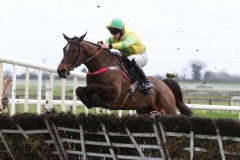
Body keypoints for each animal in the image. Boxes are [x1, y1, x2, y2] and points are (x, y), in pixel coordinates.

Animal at [57, 32, 194, 116]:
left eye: (74, 50)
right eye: (64, 49)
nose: (61, 70)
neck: (102, 65)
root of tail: (165, 85)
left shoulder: (115, 92)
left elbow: (92, 87)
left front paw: (96, 99)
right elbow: (79, 89)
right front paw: (89, 100)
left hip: (168, 109)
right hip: (144, 110)